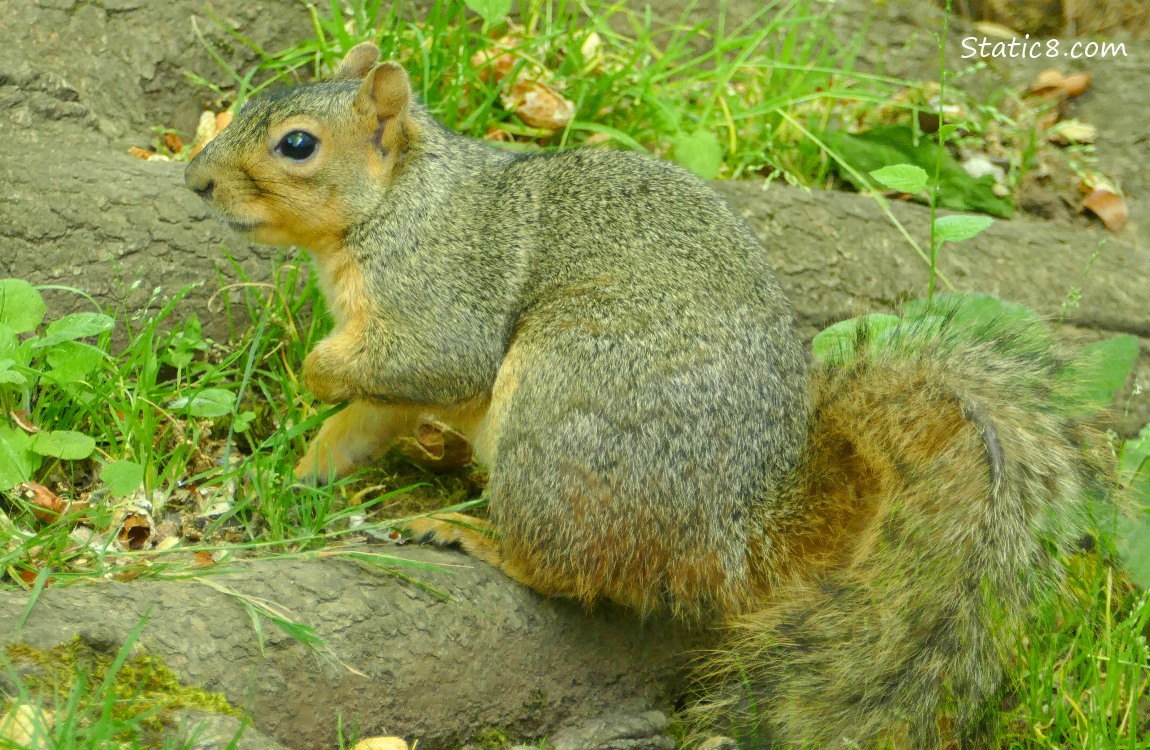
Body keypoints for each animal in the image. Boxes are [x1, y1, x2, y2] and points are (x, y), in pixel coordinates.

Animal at [186, 45, 1113, 750]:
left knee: (568, 570)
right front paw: (299, 478)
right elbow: (366, 419)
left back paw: (469, 533)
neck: (396, 204)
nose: (195, 182)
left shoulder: (440, 297)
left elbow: (432, 363)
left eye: (297, 145)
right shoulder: (392, 371)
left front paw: (312, 371)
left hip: (564, 402)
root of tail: (738, 536)